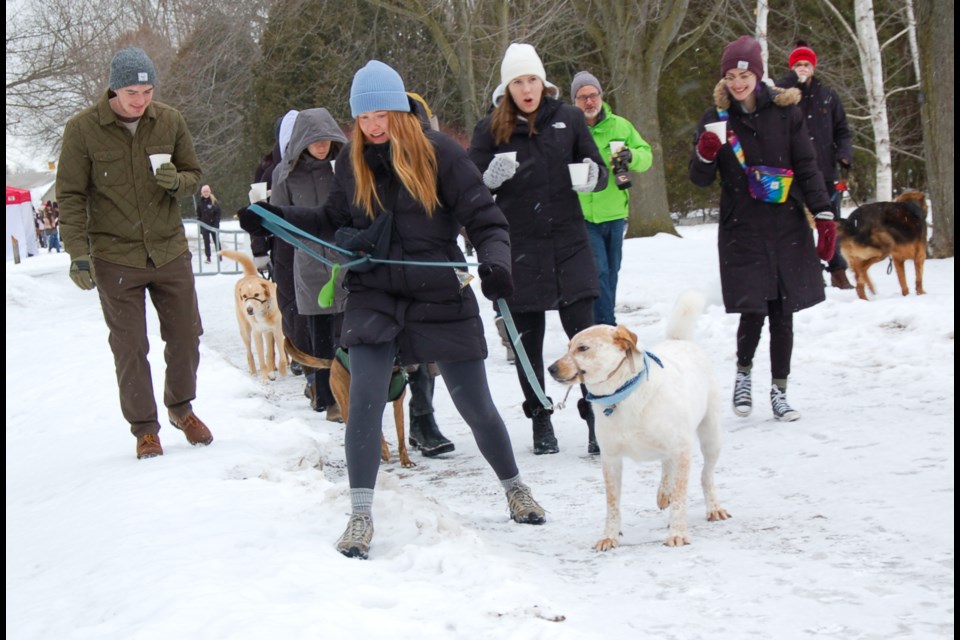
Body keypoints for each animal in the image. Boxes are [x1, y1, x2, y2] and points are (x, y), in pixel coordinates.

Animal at [219, 249, 286, 380]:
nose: (249, 310)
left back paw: (271, 371)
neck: (263, 312)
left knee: (269, 353)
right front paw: (264, 378)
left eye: (256, 295)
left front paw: (281, 370)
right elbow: (261, 359)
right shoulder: (257, 333)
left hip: (267, 333)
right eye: (244, 296)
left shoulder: (276, 330)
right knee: (249, 352)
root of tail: (250, 275)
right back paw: (254, 371)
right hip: (245, 332)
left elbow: (279, 354)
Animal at [280, 338, 410, 468]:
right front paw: (384, 451)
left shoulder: (398, 405)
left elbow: (401, 436)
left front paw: (406, 460)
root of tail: (334, 361)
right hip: (346, 403)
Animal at [548, 292, 728, 552]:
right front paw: (609, 536)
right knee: (667, 464)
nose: (550, 368)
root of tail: (679, 340)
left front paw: (678, 533)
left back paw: (713, 507)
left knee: (706, 475)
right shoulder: (610, 458)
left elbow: (681, 498)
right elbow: (612, 503)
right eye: (568, 347)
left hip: (710, 436)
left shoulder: (682, 449)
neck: (623, 396)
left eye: (583, 348)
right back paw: (664, 491)